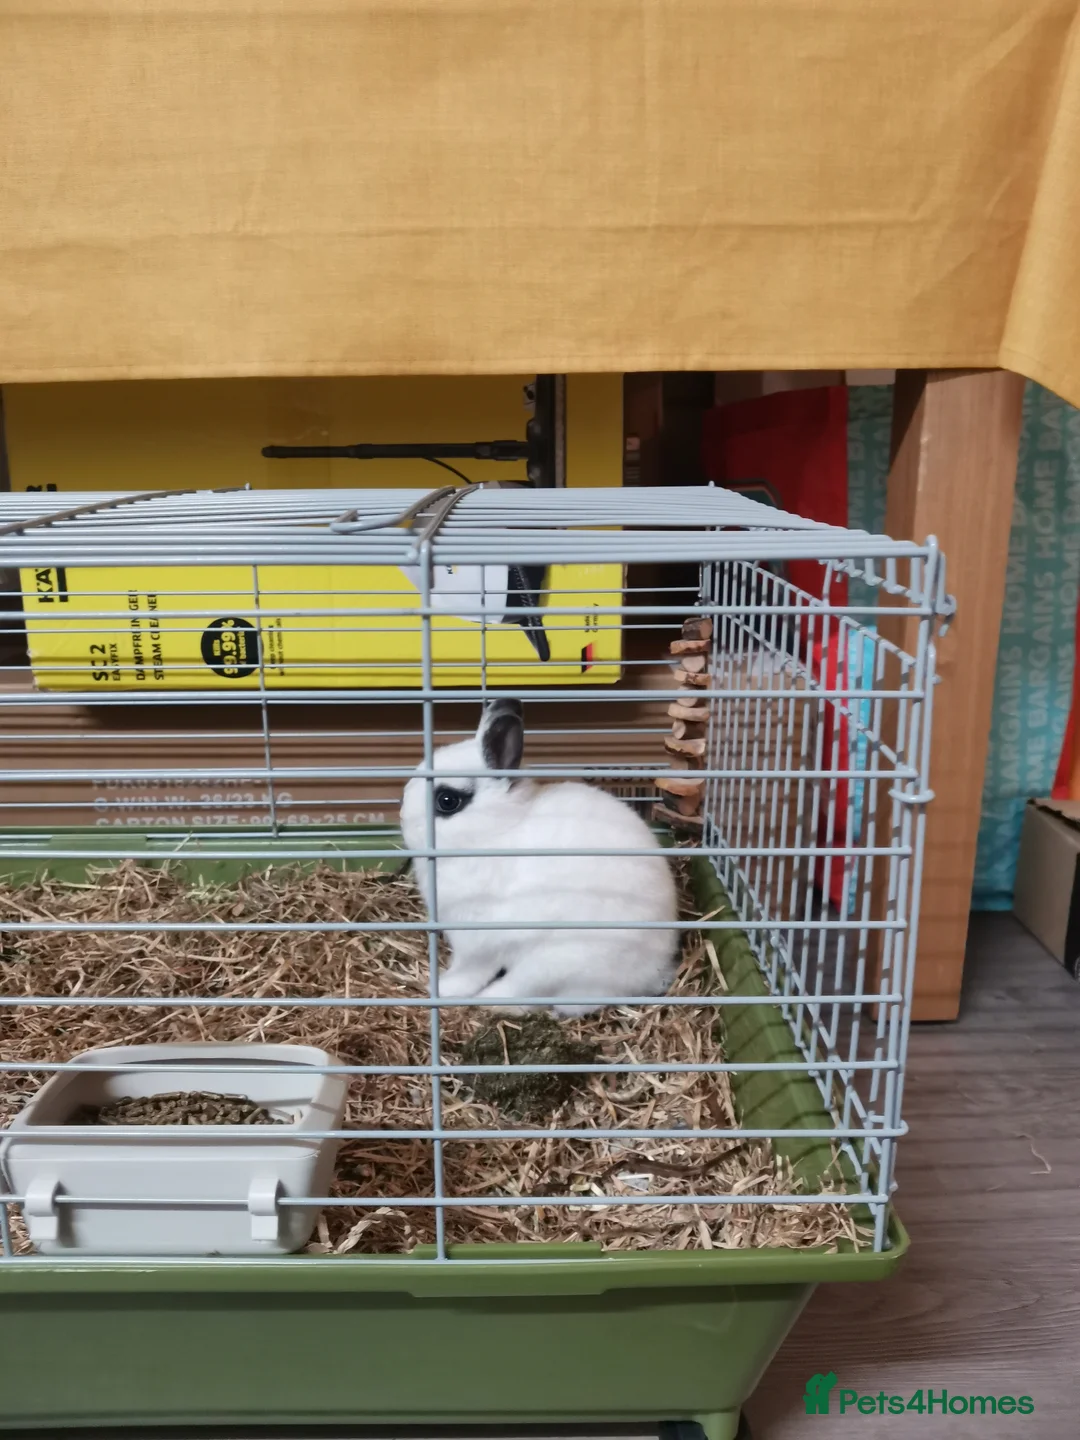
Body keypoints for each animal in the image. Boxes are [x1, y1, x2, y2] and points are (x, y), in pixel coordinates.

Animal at [399, 699, 679, 1016]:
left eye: (447, 801)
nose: (403, 817)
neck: (494, 833)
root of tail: (654, 972)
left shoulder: (477, 942)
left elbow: (469, 971)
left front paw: (442, 988)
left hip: (555, 960)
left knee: (524, 993)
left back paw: (488, 1001)